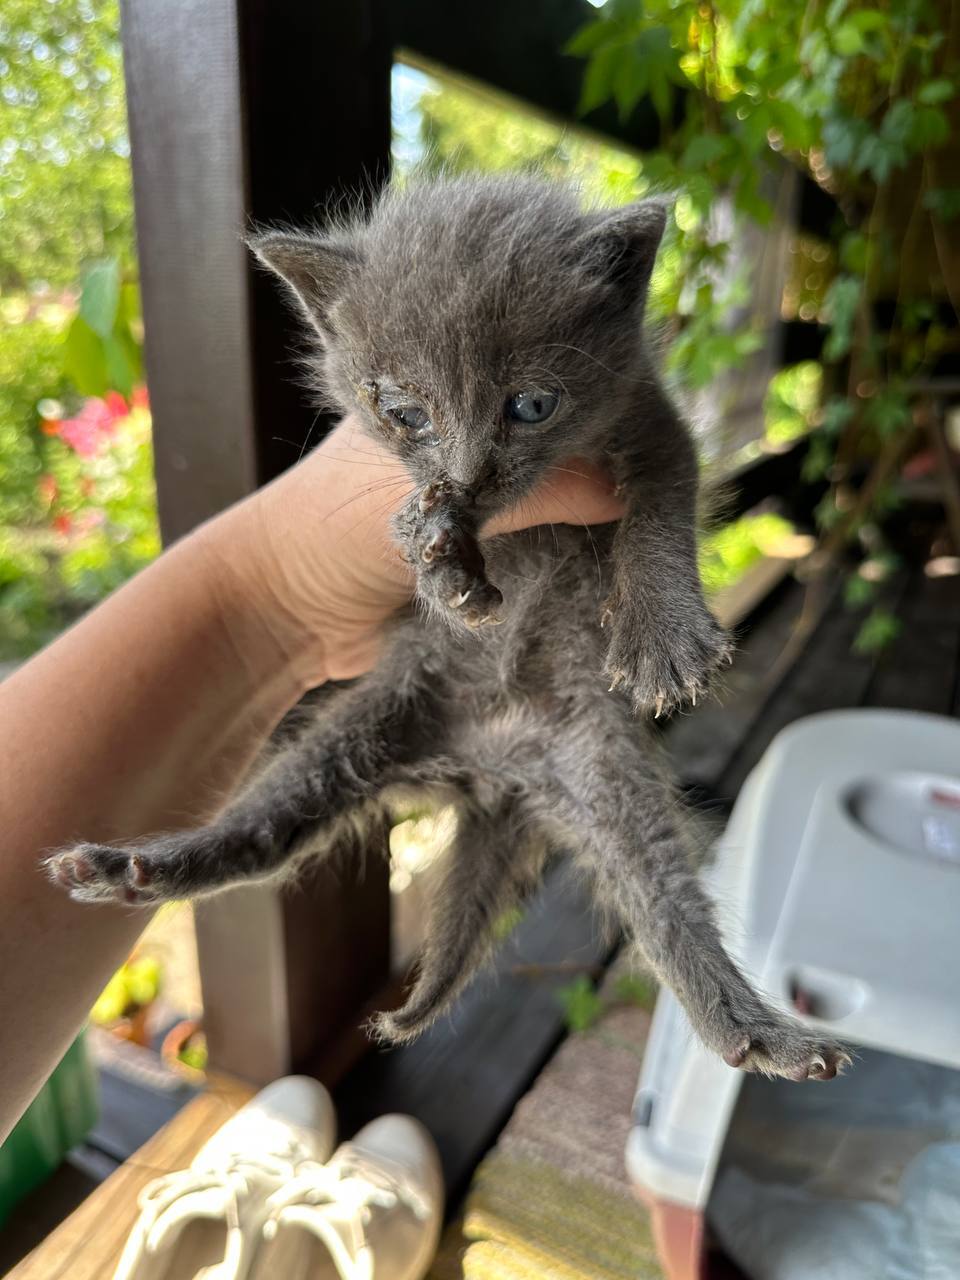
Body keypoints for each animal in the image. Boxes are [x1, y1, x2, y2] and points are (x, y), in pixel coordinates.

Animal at [50, 175, 849, 1080]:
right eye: (404, 411)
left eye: (532, 405)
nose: (468, 473)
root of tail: (496, 772)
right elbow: (418, 530)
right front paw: (441, 559)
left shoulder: (652, 422)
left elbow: (658, 511)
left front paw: (663, 634)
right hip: (373, 720)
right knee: (270, 831)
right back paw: (137, 869)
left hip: (607, 773)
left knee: (666, 903)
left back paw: (759, 1034)